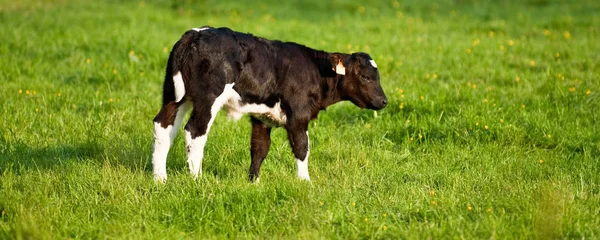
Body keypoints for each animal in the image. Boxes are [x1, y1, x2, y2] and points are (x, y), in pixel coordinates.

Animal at [152, 26, 386, 183]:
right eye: (365, 76)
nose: (384, 101)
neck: (315, 70)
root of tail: (196, 33)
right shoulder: (298, 116)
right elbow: (302, 147)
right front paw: (305, 182)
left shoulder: (262, 118)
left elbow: (259, 148)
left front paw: (253, 182)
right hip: (207, 99)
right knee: (195, 132)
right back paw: (197, 179)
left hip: (174, 95)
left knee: (163, 126)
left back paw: (160, 178)